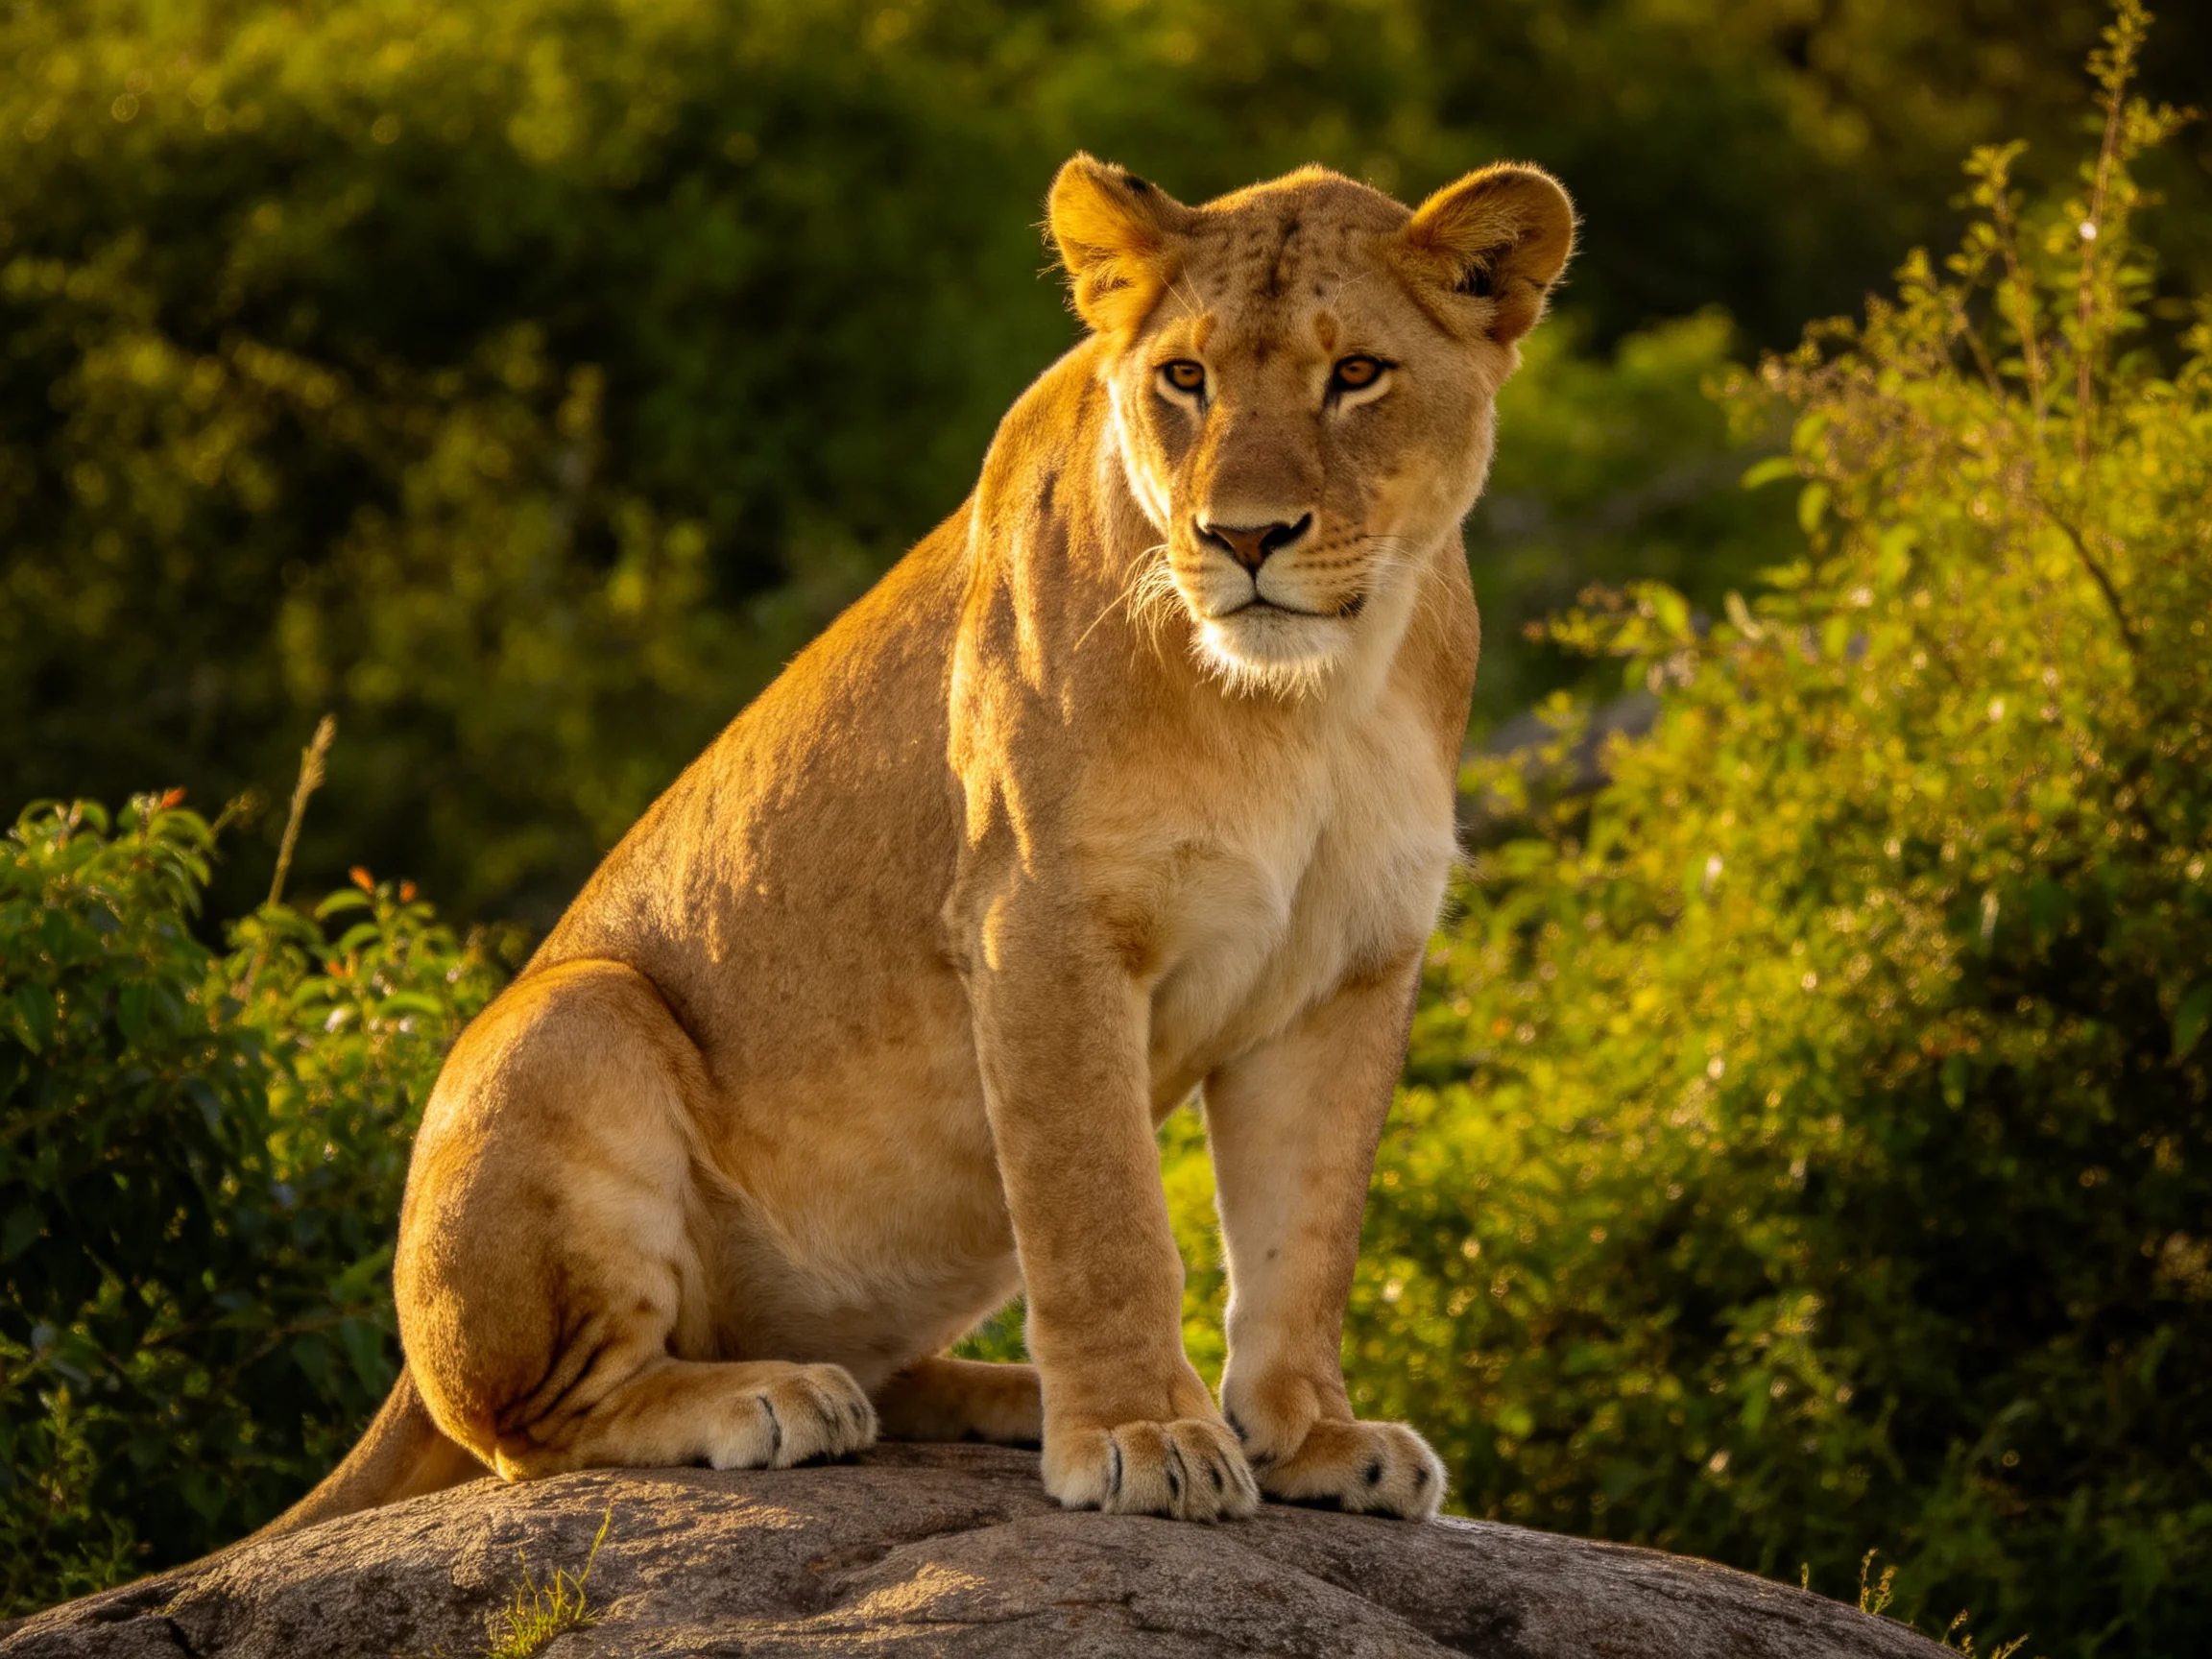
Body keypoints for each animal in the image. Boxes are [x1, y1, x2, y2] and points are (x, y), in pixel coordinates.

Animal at [264, 153, 1574, 1532]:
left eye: (1358, 373)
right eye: (1186, 378)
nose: (1246, 537)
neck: (1307, 702)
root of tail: (400, 1386)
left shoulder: (1351, 967)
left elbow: (1306, 1241)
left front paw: (1313, 1435)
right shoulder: (1040, 922)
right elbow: (1103, 1213)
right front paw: (1144, 1434)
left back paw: (997, 1395)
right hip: (575, 1013)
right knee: (535, 1426)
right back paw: (776, 1397)